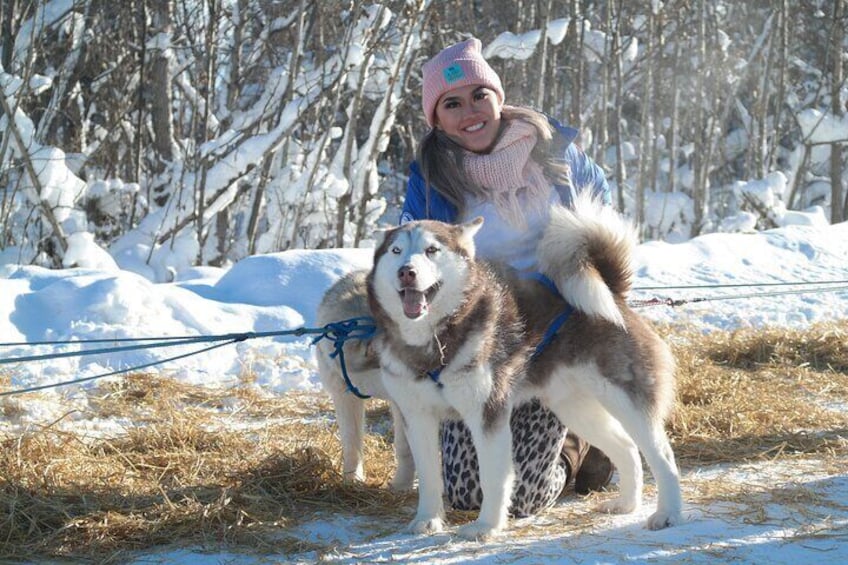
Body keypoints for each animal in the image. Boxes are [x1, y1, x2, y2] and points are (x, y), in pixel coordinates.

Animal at [364, 197, 684, 536]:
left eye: (431, 250)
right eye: (396, 250)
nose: (406, 272)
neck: (434, 341)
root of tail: (614, 294)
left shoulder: (487, 414)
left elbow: (493, 478)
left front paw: (487, 526)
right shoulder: (417, 417)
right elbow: (428, 477)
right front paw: (427, 519)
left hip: (627, 403)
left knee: (662, 457)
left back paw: (669, 513)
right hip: (576, 408)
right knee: (627, 448)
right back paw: (627, 504)